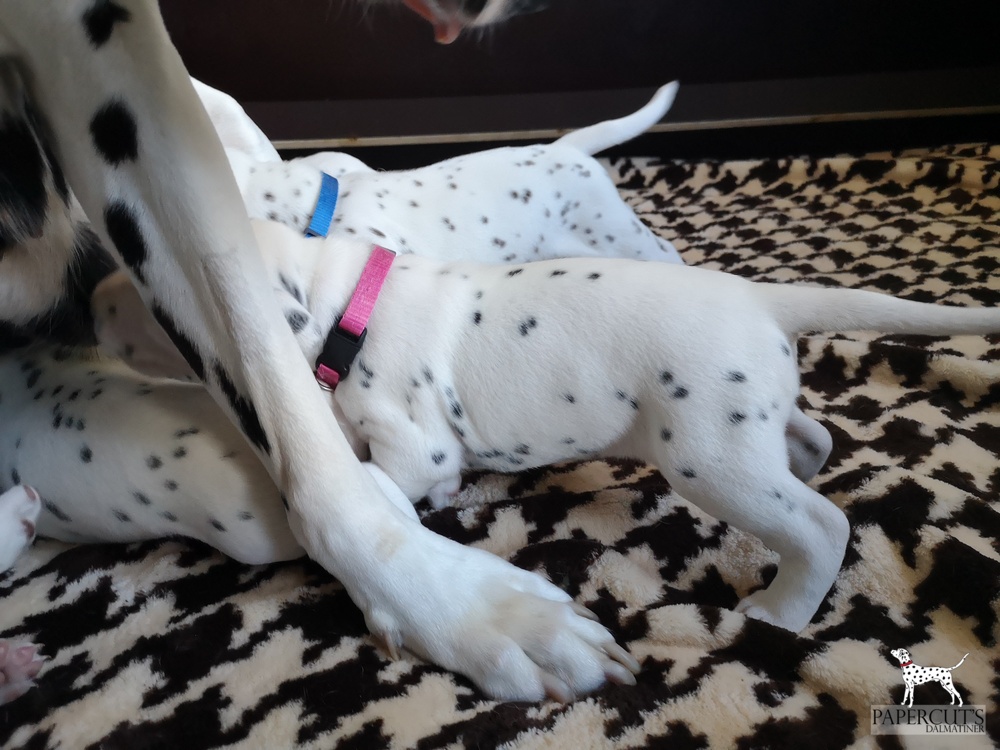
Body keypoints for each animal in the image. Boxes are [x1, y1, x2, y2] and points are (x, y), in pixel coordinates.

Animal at [91, 219, 1000, 637]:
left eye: (150, 302)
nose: (85, 308)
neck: (349, 300)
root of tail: (761, 299)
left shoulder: (412, 437)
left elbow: (382, 477)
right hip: (748, 426)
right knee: (811, 444)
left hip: (708, 455)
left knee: (820, 525)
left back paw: (781, 612)